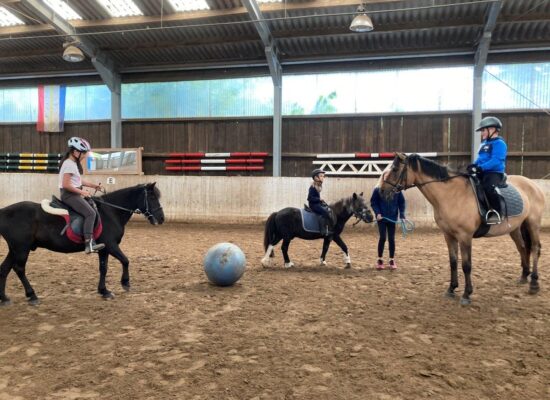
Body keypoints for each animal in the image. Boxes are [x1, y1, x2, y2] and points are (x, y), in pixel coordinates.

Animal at [0, 183, 164, 304]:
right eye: (151, 197)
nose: (162, 218)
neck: (111, 212)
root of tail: (3, 212)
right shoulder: (111, 245)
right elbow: (125, 260)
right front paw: (125, 283)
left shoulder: (104, 249)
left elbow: (103, 269)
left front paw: (104, 291)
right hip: (21, 248)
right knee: (19, 269)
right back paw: (32, 295)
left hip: (14, 249)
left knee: (5, 269)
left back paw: (5, 299)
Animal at [382, 155, 544, 304]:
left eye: (395, 169)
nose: (382, 190)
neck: (452, 194)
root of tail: (532, 184)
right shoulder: (448, 235)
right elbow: (453, 262)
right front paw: (451, 289)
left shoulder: (464, 236)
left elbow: (466, 265)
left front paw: (466, 294)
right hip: (515, 228)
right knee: (522, 247)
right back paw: (524, 276)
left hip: (533, 224)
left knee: (535, 248)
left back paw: (534, 284)